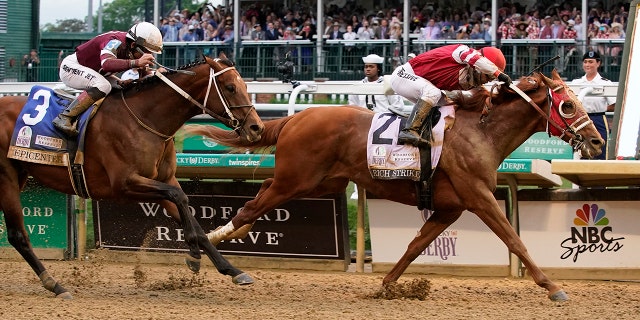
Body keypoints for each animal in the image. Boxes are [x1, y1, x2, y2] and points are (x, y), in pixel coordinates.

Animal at [0, 53, 264, 298]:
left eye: (245, 86)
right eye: (230, 87)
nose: (257, 128)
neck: (145, 119)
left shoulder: (163, 180)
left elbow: (190, 213)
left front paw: (230, 269)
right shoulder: (124, 184)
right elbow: (179, 197)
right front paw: (194, 254)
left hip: (19, 174)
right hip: (7, 178)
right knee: (17, 235)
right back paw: (55, 285)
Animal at [184, 69, 604, 302]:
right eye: (567, 106)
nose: (598, 141)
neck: (481, 131)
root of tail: (295, 118)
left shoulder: (450, 207)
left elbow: (416, 245)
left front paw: (386, 284)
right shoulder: (480, 198)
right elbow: (515, 240)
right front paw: (552, 286)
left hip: (316, 183)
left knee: (258, 202)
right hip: (296, 179)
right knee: (250, 207)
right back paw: (208, 247)